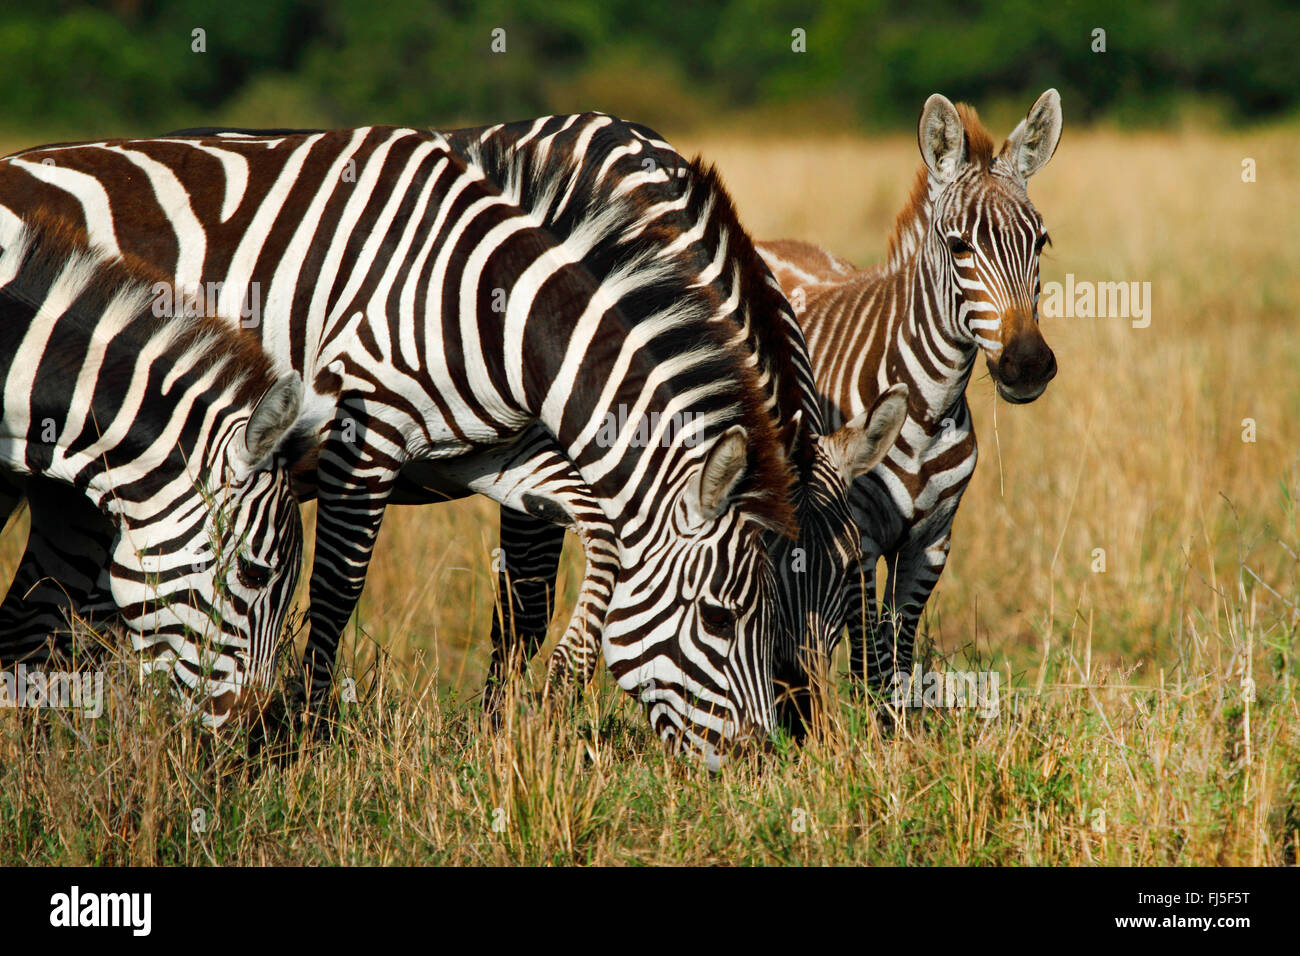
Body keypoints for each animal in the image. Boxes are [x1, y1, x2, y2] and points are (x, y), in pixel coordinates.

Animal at [759, 89, 1060, 697]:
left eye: (1040, 242)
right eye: (959, 246)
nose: (1027, 365)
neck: (926, 410)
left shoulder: (932, 543)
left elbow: (897, 659)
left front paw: (899, 723)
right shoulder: (857, 539)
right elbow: (868, 664)